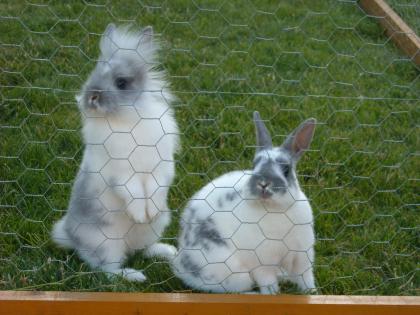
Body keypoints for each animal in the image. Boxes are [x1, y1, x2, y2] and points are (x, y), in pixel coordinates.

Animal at [50, 23, 179, 282]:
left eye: (121, 83)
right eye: (93, 74)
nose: (91, 97)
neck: (124, 120)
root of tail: (71, 237)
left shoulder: (162, 167)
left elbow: (157, 187)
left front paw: (150, 211)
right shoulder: (120, 175)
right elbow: (133, 192)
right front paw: (140, 214)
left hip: (156, 227)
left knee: (142, 249)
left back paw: (168, 252)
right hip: (105, 243)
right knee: (107, 270)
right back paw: (135, 276)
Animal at [172, 112, 316, 296]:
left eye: (286, 170)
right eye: (255, 165)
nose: (263, 183)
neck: (274, 208)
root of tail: (179, 263)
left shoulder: (302, 256)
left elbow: (306, 278)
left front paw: (313, 293)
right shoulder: (261, 264)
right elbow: (267, 281)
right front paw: (272, 294)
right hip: (234, 275)